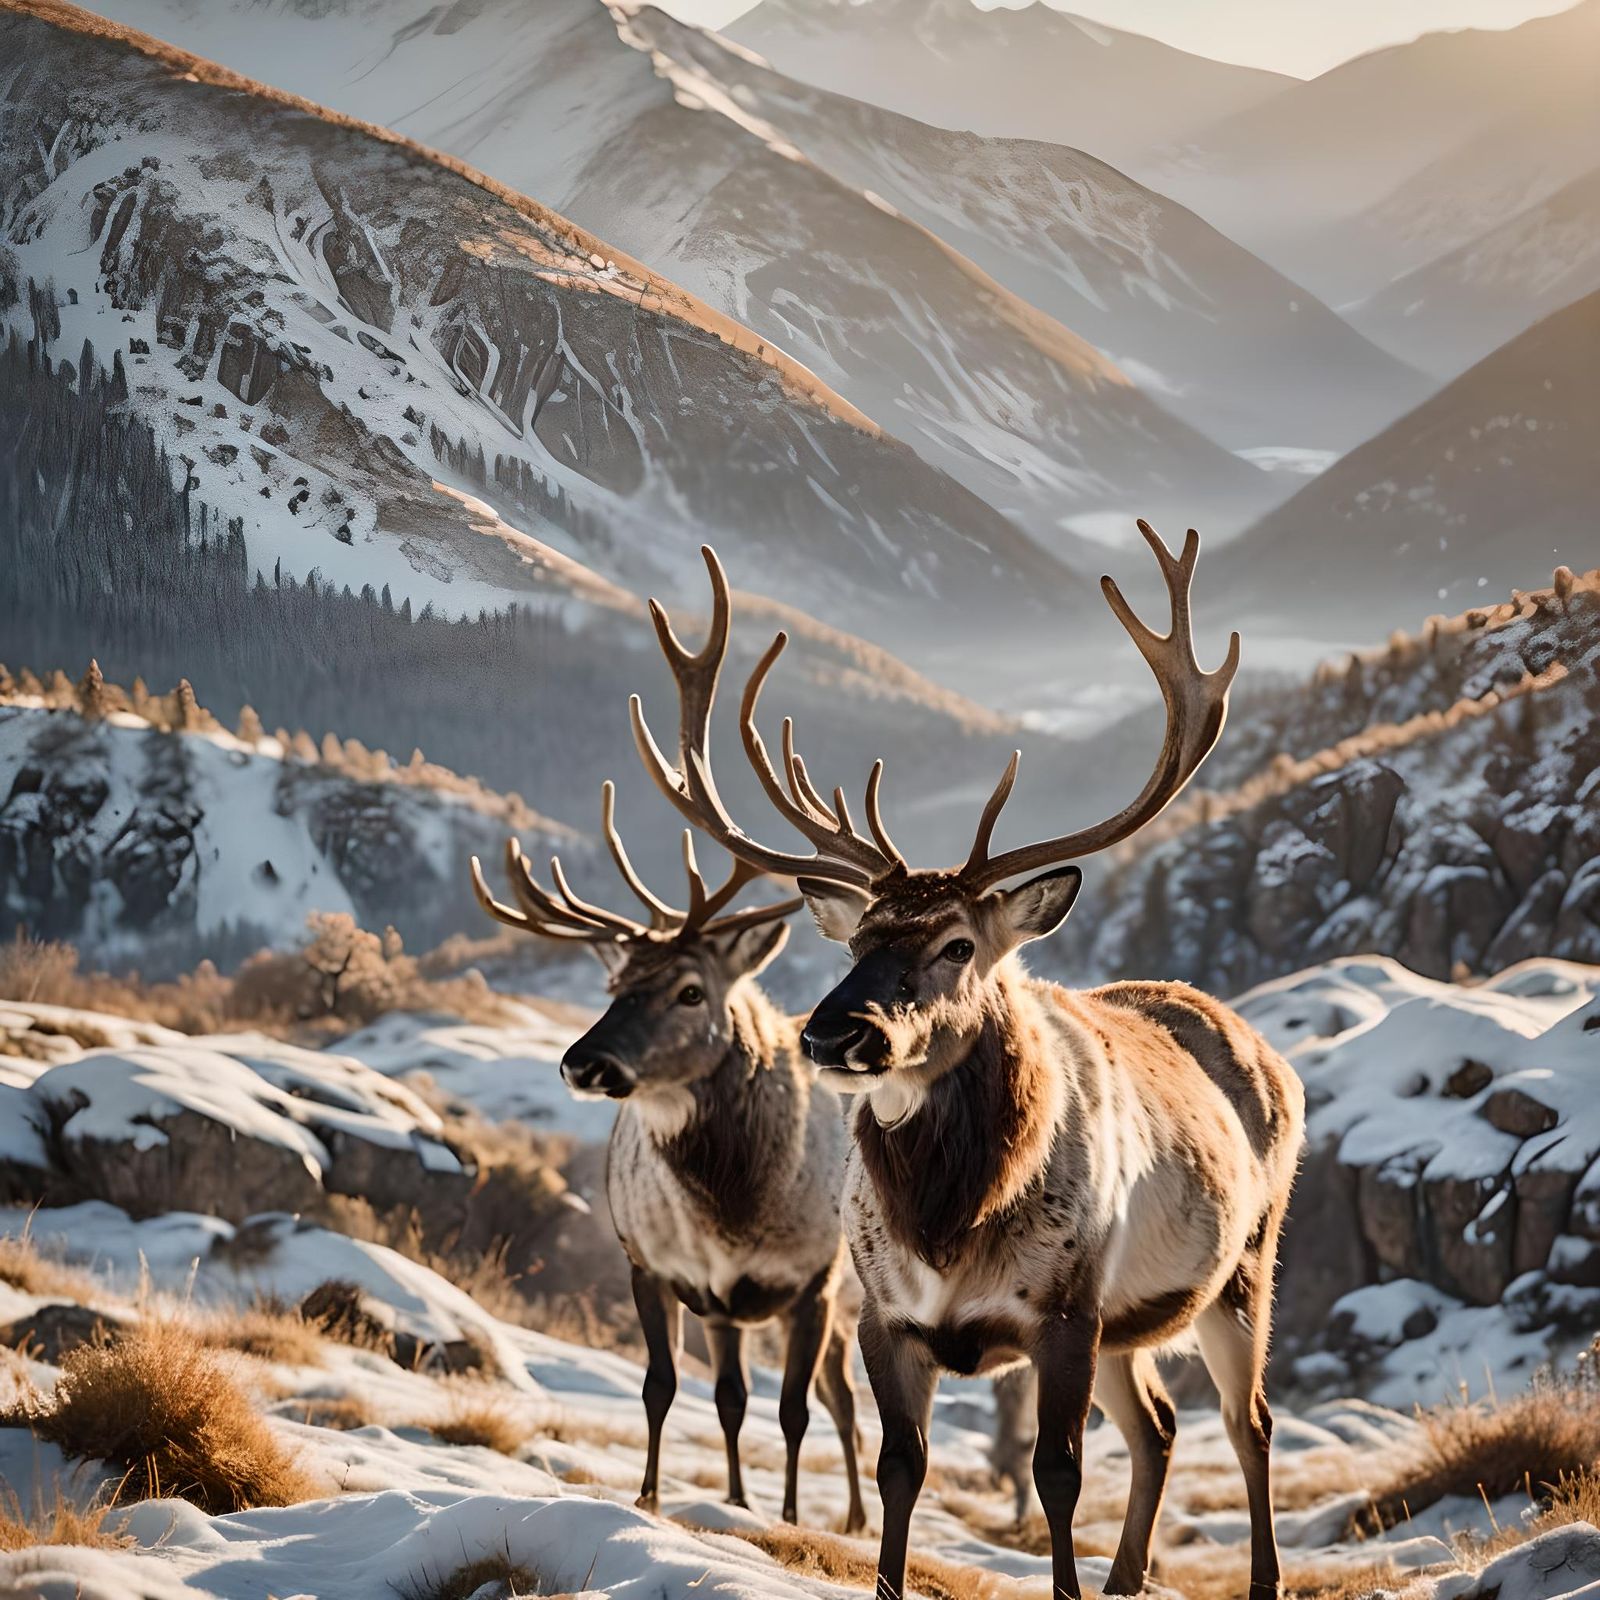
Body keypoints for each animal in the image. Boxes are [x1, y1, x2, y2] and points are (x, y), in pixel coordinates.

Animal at [469, 782, 866, 1535]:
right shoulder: (656, 1266)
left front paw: (789, 1518)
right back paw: (741, 1499)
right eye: (614, 985)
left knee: (844, 1402)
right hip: (731, 1312)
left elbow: (794, 1413)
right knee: (741, 1397)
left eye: (690, 990)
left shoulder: (814, 1282)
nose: (584, 1062)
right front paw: (650, 1498)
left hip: (855, 1302)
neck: (735, 1212)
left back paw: (854, 1518)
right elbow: (666, 1387)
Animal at [628, 528, 1306, 1600]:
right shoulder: (886, 1313)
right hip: (1131, 1324)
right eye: (857, 937)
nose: (835, 1034)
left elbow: (1057, 1473)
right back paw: (1125, 1579)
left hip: (1245, 1266)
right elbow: (899, 1468)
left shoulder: (1064, 1306)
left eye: (956, 945)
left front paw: (1065, 1588)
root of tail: (1274, 1059)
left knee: (1249, 1424)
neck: (950, 1220)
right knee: (1159, 1428)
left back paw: (1258, 1575)